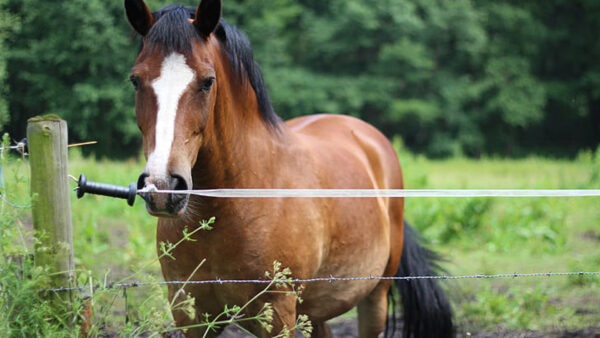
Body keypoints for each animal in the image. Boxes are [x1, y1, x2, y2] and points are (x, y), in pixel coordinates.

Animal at [124, 1, 452, 336]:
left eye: (207, 81)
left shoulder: (277, 315)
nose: (163, 186)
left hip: (375, 298)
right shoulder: (190, 314)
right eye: (135, 80)